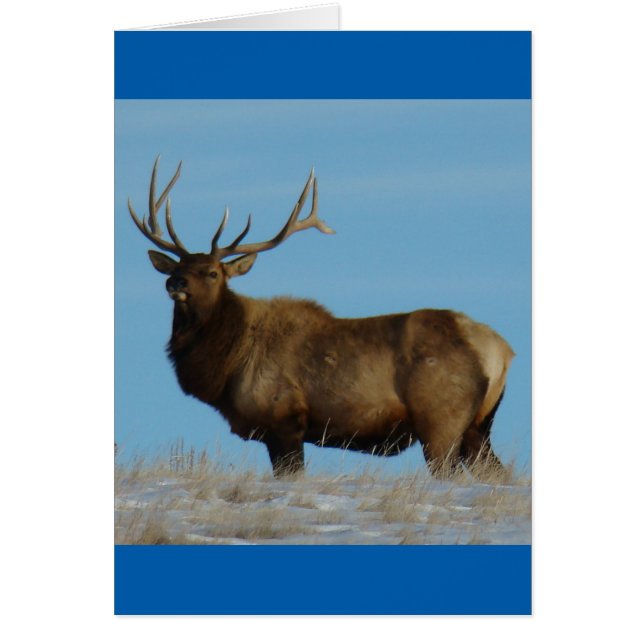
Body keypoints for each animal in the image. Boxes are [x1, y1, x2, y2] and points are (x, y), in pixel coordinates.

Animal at [128, 158, 514, 478]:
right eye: (177, 266)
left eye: (211, 273)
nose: (175, 283)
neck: (227, 367)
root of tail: (502, 351)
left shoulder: (284, 420)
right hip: (478, 424)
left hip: (441, 419)